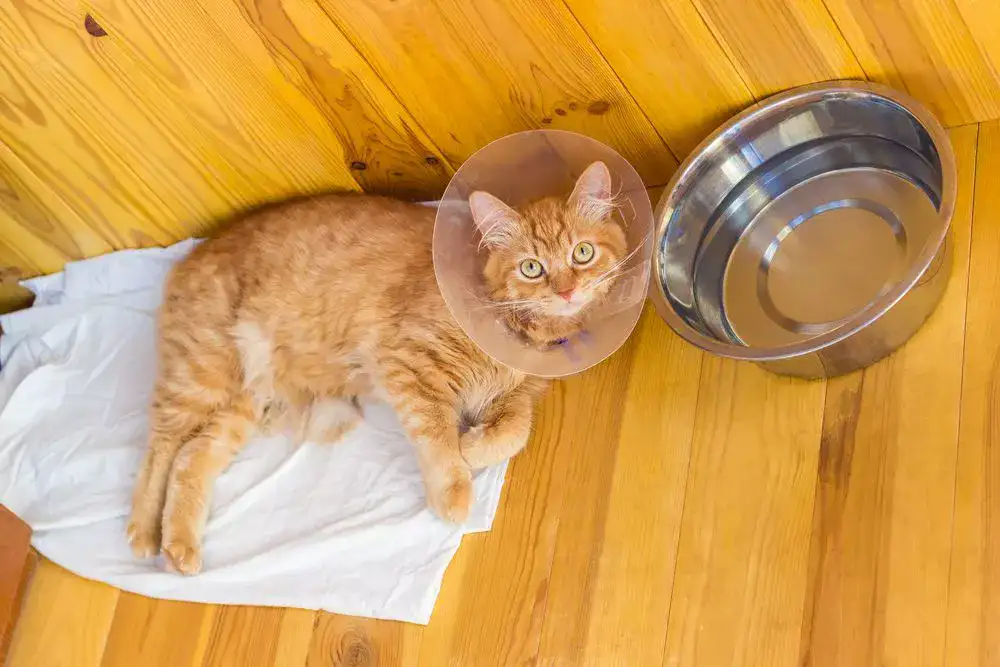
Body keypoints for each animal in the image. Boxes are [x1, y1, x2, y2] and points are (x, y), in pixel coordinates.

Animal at [125, 159, 624, 572]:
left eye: (582, 253)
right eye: (531, 268)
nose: (566, 291)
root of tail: (191, 253)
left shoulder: (518, 396)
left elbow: (514, 433)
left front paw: (474, 445)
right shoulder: (408, 364)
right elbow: (439, 439)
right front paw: (455, 486)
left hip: (242, 403)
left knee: (192, 457)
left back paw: (181, 546)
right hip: (202, 374)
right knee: (161, 448)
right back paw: (145, 534)